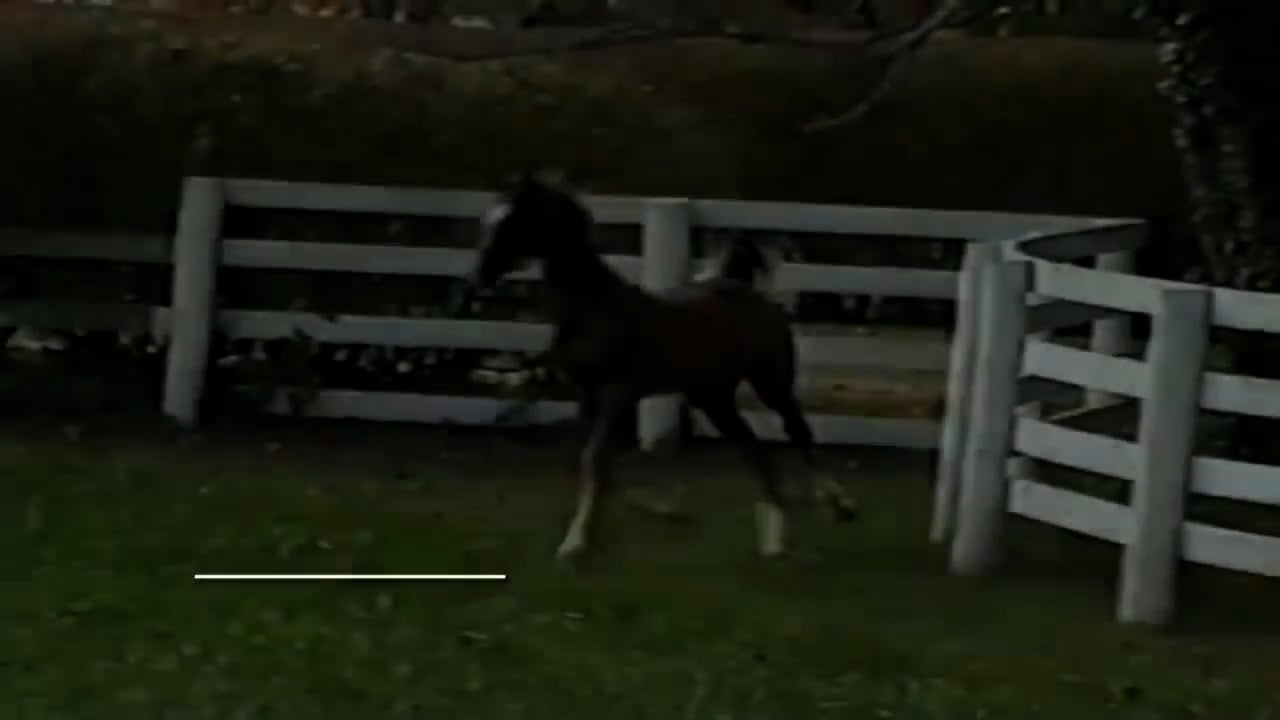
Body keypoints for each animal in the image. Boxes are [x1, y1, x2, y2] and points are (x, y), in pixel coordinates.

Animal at [454, 174, 858, 561]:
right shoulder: (587, 397)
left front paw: (575, 544)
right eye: (489, 219)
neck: (594, 310)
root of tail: (747, 290)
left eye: (514, 221)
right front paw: (593, 536)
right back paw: (773, 542)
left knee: (797, 431)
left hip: (770, 382)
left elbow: (593, 459)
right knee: (754, 449)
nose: (479, 278)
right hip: (714, 398)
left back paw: (839, 505)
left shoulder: (619, 393)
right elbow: (597, 462)